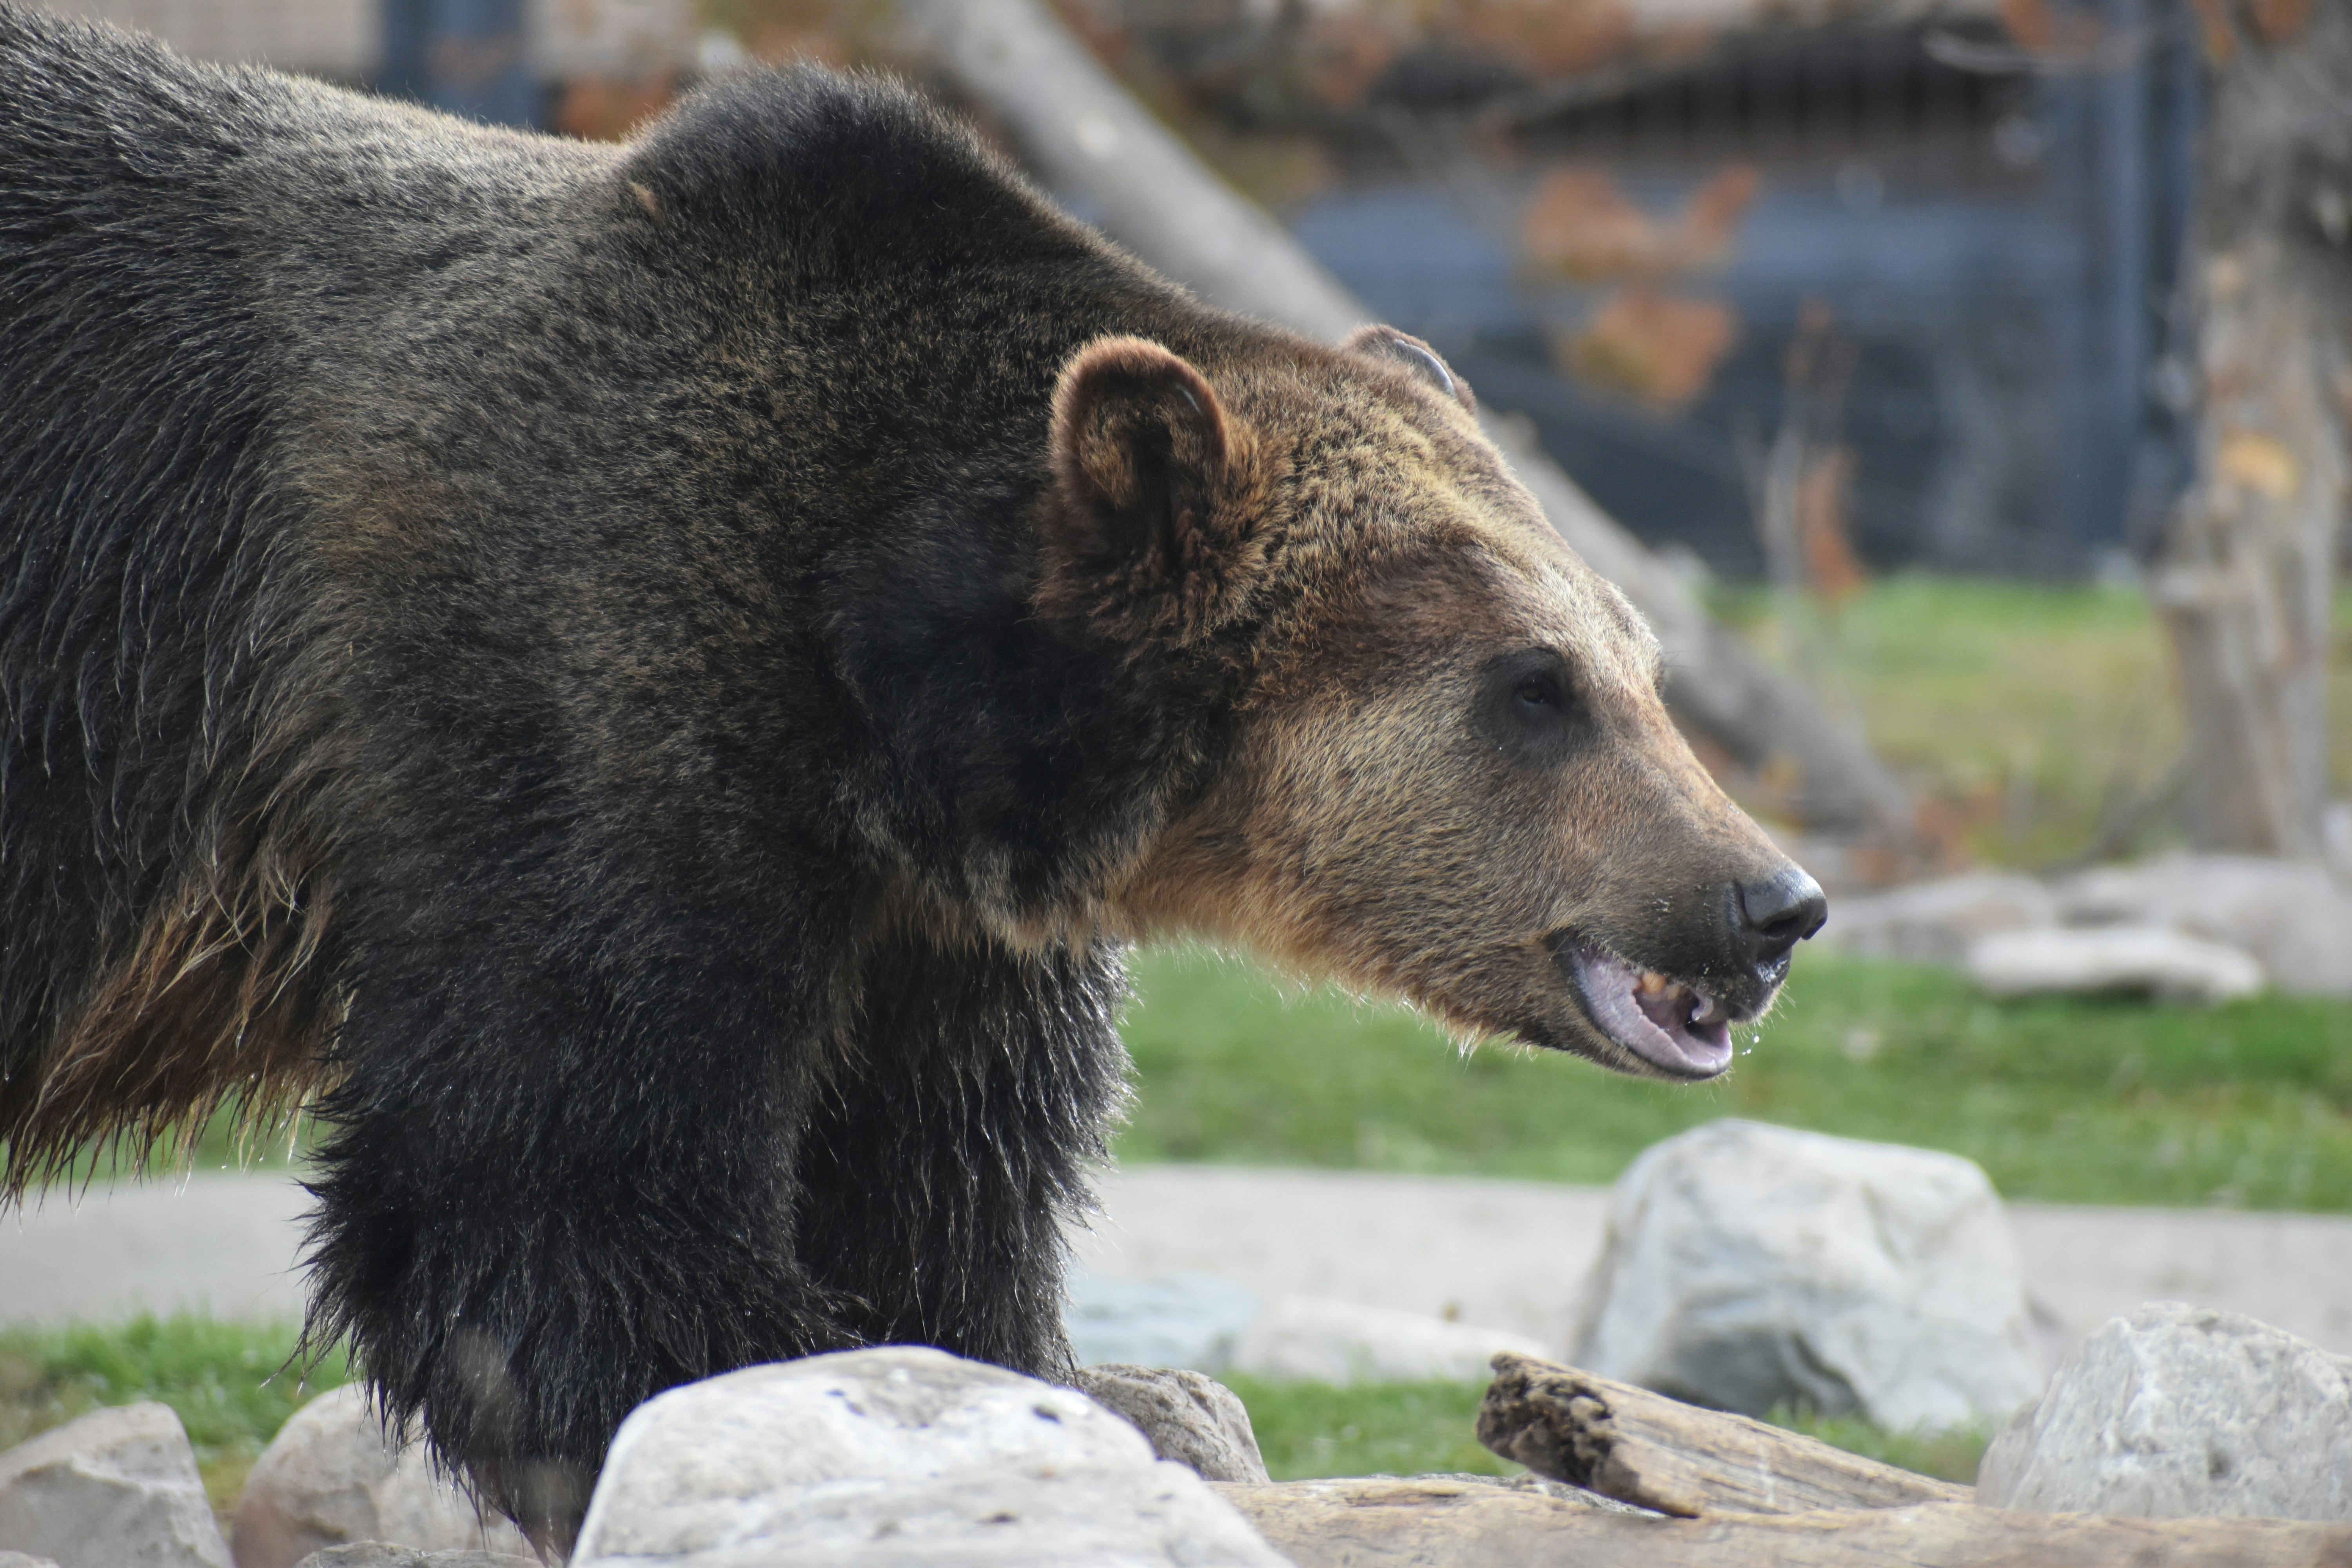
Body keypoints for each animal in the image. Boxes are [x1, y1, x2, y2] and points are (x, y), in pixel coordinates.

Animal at [0, 6, 1825, 1549]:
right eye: (1533, 685)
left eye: (1641, 663)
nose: (1772, 900)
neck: (881, 696)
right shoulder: (567, 705)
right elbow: (543, 1198)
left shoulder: (926, 928)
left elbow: (947, 1185)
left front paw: (1103, 1387)